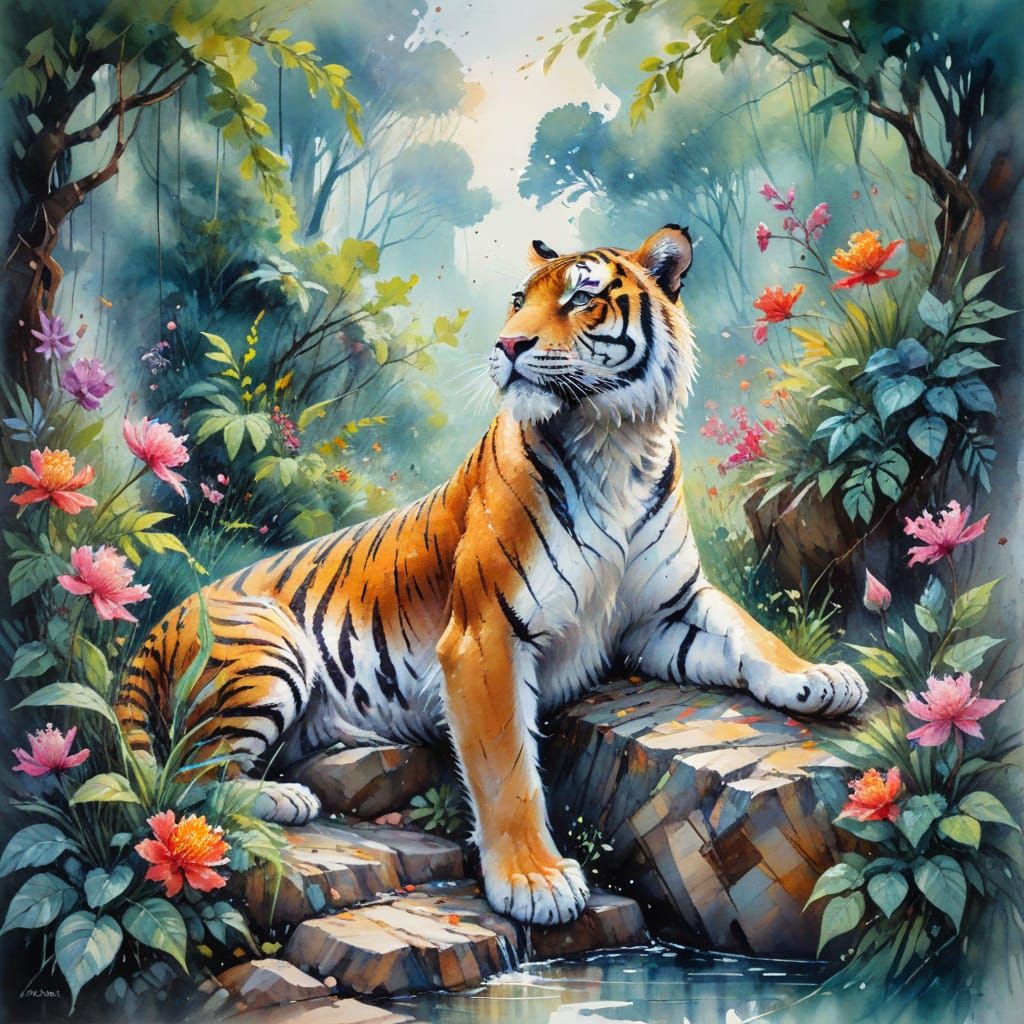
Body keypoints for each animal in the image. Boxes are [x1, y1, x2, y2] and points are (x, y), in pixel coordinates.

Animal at [115, 225, 868, 926]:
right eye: (517, 300)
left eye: (582, 296)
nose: (507, 345)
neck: (614, 442)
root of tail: (160, 622)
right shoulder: (485, 635)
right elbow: (508, 770)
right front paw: (535, 882)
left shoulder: (663, 613)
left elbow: (748, 632)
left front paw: (819, 678)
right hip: (266, 649)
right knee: (191, 778)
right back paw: (285, 798)